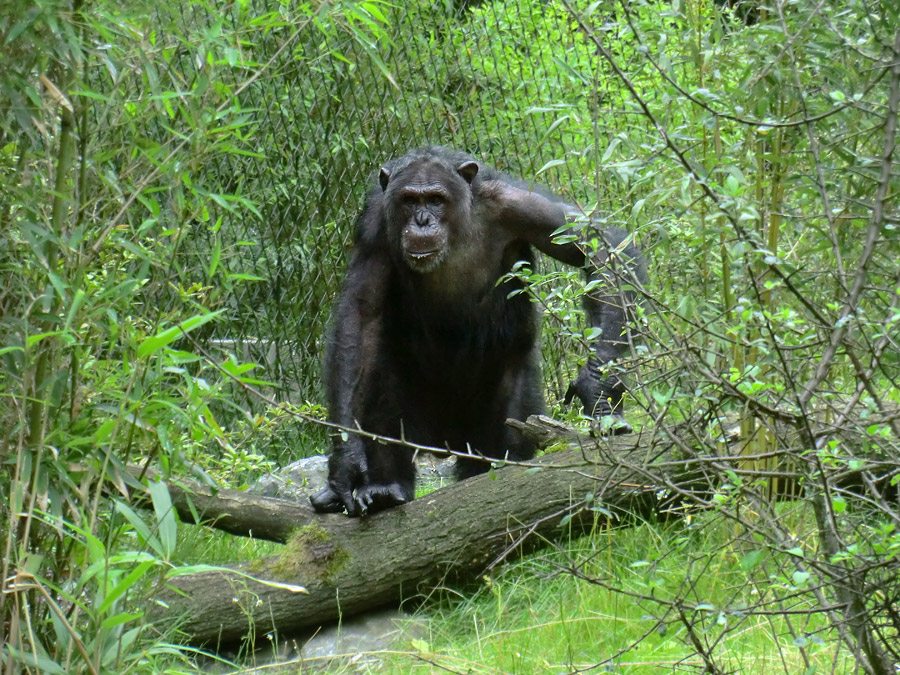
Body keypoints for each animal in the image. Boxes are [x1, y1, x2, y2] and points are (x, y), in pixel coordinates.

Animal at [312, 149, 648, 516]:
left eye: (436, 199)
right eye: (409, 200)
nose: (422, 220)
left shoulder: (520, 204)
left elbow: (599, 248)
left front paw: (597, 388)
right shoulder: (374, 224)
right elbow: (360, 316)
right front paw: (346, 464)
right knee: (379, 384)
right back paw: (385, 489)